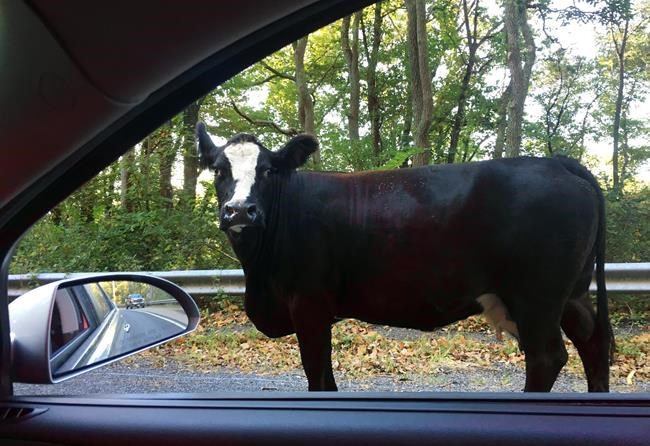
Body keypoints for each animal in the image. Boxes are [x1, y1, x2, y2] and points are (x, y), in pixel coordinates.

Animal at [196, 122, 613, 392]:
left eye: (267, 171)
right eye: (217, 170)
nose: (239, 210)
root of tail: (555, 161)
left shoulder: (309, 304)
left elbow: (317, 376)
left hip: (536, 296)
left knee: (547, 357)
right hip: (570, 293)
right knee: (594, 342)